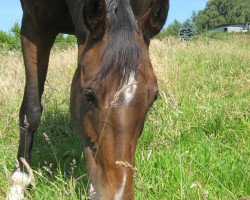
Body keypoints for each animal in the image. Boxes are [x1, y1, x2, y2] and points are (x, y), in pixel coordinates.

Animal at [8, 0, 169, 199]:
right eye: (88, 95)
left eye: (154, 98)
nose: (118, 194)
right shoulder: (35, 25)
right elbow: (31, 111)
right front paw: (18, 184)